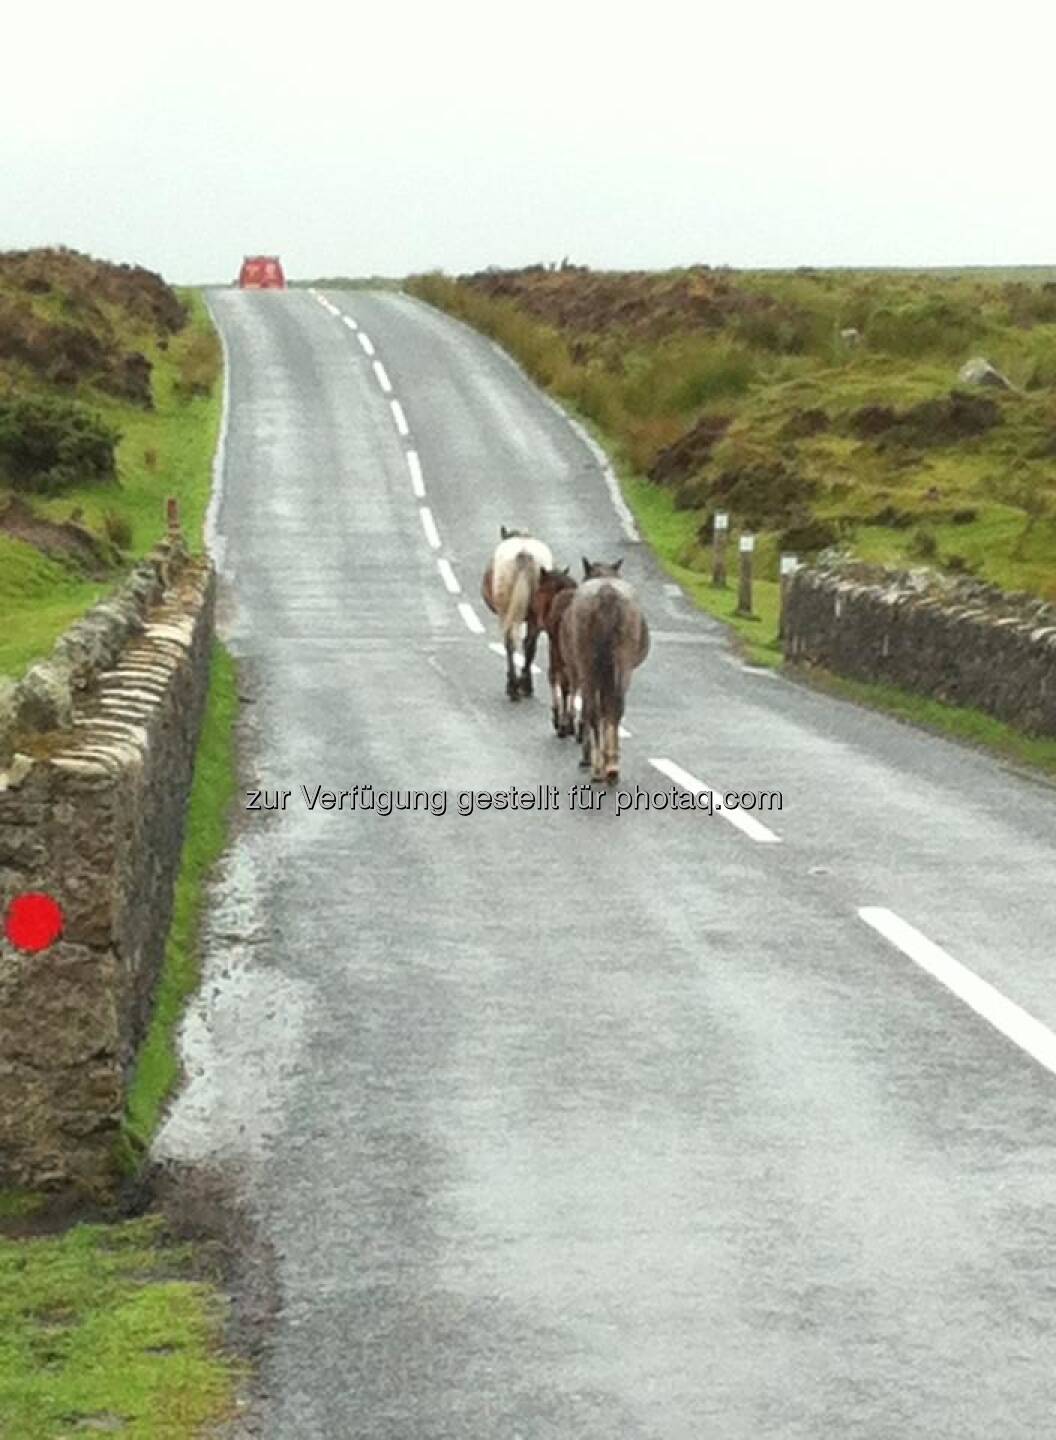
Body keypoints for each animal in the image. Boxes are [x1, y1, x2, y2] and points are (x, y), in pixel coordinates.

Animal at [481, 527, 556, 699]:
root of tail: (524, 553)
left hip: (506, 611)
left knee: (512, 643)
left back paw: (514, 686)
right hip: (533, 615)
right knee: (528, 644)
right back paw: (522, 685)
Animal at [564, 555, 645, 783]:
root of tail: (607, 592)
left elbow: (594, 711)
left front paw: (587, 756)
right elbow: (606, 710)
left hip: (589, 666)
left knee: (593, 708)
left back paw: (599, 767)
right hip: (621, 664)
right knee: (615, 707)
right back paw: (611, 766)